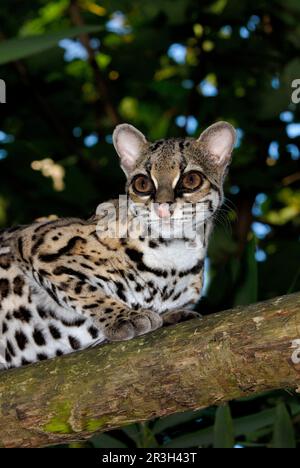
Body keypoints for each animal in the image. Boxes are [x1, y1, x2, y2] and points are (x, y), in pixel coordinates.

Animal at [0, 121, 236, 370]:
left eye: (191, 180)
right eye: (142, 183)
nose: (162, 206)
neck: (172, 256)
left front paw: (169, 316)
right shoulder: (35, 241)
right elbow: (82, 289)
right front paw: (124, 317)